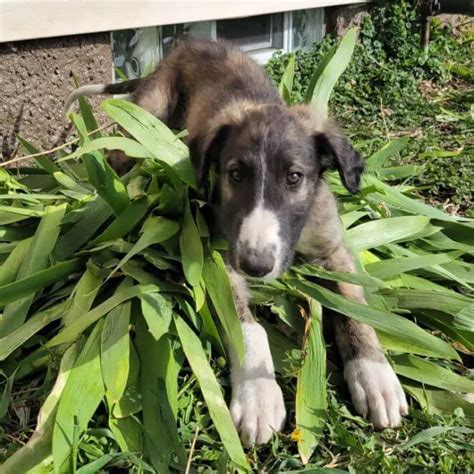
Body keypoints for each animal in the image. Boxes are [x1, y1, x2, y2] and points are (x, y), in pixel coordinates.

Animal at [65, 39, 408, 446]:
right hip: (145, 118)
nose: (256, 266)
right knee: (118, 153)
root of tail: (185, 44)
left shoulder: (333, 251)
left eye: (295, 177)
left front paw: (375, 375)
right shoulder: (219, 258)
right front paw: (258, 395)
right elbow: (248, 326)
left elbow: (354, 310)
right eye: (235, 174)